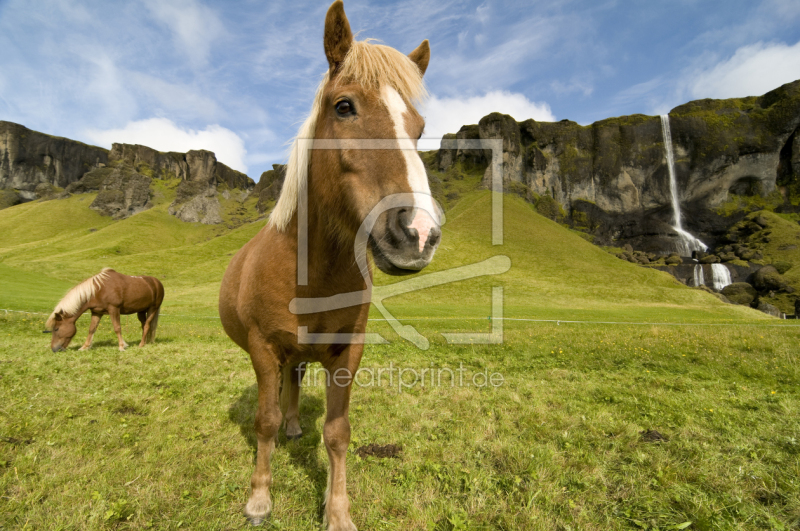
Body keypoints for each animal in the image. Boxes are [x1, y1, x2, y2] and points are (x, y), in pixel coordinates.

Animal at [219, 2, 440, 528]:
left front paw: (337, 511)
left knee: (295, 383)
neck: (310, 272)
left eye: (419, 127)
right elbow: (263, 420)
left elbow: (338, 432)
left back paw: (296, 425)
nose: (418, 232)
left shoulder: (346, 355)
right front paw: (259, 497)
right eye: (344, 106)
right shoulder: (263, 349)